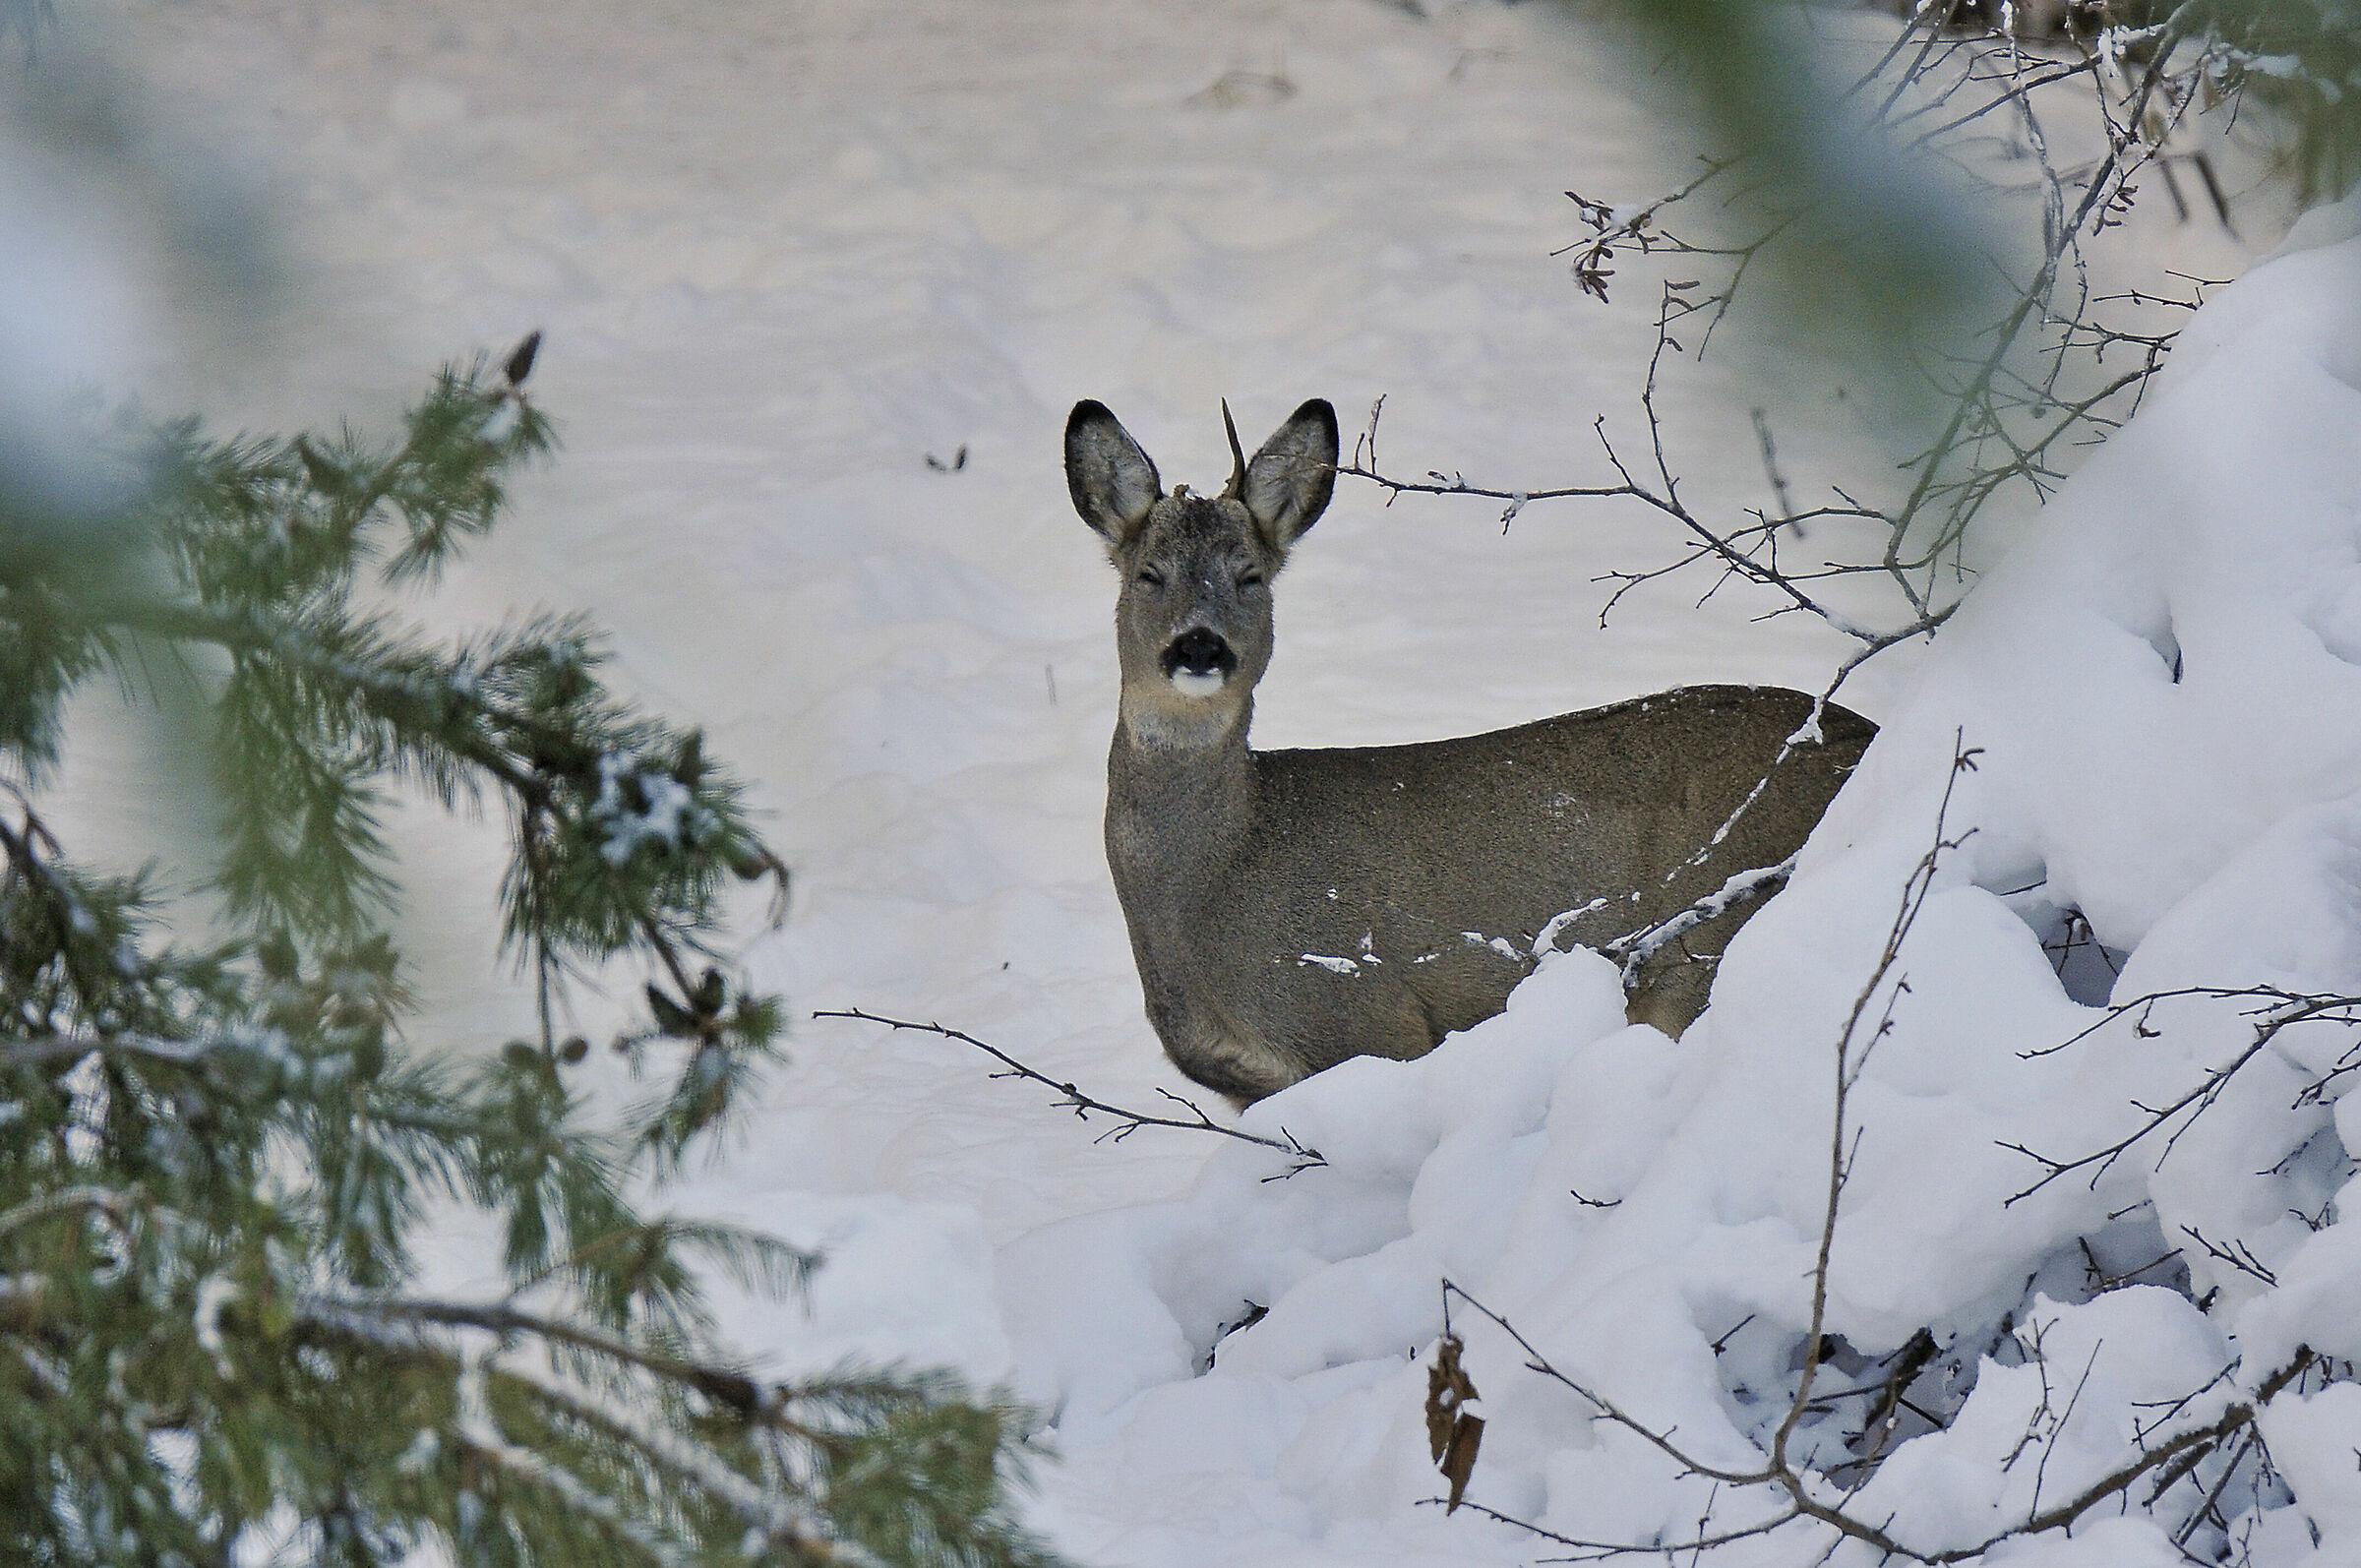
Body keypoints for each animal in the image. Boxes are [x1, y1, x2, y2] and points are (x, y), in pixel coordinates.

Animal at [1065, 396, 1876, 1105]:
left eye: (1250, 576)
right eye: (1148, 574)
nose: (1199, 646)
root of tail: (1870, 737)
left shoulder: (1368, 1016)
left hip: (1708, 950)